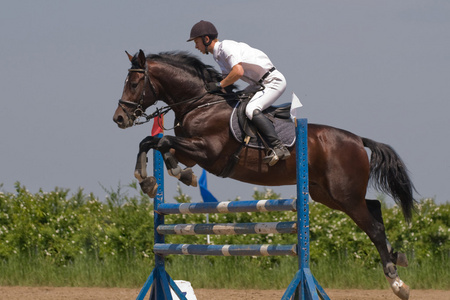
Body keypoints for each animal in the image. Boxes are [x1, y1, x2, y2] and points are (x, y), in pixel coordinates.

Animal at [112, 49, 414, 300]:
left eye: (135, 83)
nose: (119, 118)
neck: (201, 104)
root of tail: (357, 140)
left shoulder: (208, 152)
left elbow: (161, 142)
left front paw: (166, 177)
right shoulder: (191, 152)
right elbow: (153, 143)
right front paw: (157, 179)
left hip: (345, 195)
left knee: (373, 227)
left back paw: (397, 282)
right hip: (328, 194)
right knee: (374, 208)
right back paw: (398, 257)